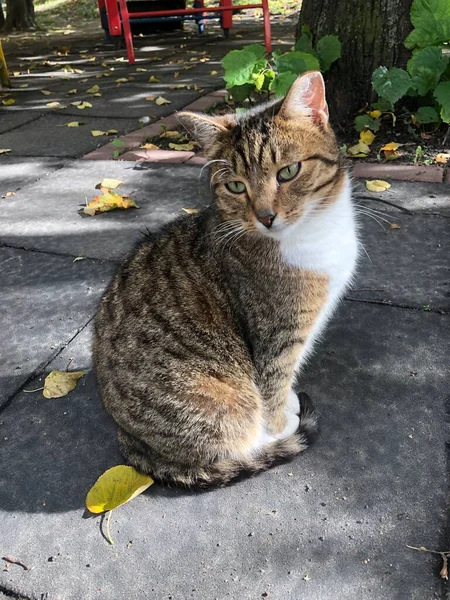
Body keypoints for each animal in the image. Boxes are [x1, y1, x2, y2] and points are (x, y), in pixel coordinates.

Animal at [94, 70, 358, 488]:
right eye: (236, 186)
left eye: (288, 172)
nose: (266, 216)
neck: (316, 231)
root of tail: (131, 443)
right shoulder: (277, 332)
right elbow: (274, 380)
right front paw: (281, 423)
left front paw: (290, 402)